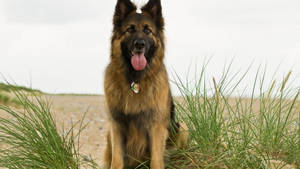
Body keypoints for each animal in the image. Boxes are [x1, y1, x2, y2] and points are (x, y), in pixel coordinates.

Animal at [104, 0, 186, 168]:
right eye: (130, 29)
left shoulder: (156, 126)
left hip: (182, 128)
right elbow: (117, 160)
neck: (135, 80)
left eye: (148, 30)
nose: (139, 44)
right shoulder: (116, 125)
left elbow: (156, 160)